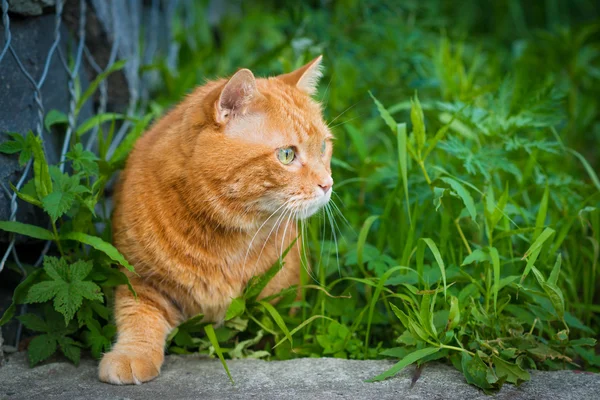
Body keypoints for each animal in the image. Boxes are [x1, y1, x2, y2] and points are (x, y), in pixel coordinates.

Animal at [98, 56, 332, 384]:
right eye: (287, 155)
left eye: (323, 147)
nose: (328, 184)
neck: (228, 238)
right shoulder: (140, 279)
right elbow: (138, 317)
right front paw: (131, 356)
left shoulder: (282, 301)